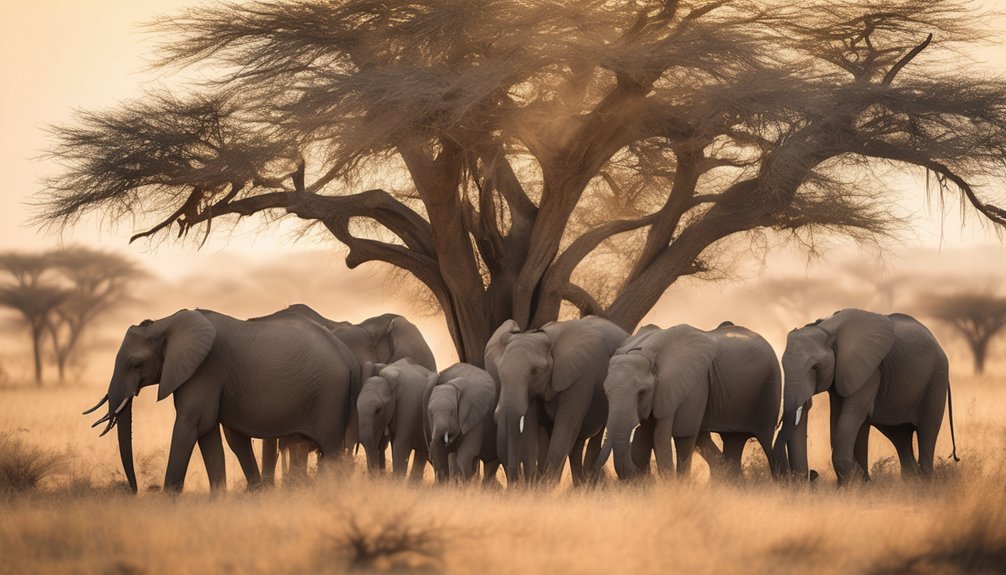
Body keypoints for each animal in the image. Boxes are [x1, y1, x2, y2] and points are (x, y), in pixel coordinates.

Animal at [83, 308, 360, 493]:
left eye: (136, 364)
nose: (134, 491)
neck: (167, 322)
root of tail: (349, 358)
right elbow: (208, 434)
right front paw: (220, 498)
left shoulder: (204, 370)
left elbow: (191, 425)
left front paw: (168, 499)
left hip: (329, 394)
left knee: (331, 449)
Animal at [486, 315, 628, 486]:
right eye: (500, 372)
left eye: (535, 371)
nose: (516, 482)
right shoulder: (532, 390)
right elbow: (530, 436)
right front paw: (534, 487)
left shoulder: (581, 378)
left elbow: (564, 430)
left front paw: (546, 486)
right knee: (575, 443)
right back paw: (580, 485)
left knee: (592, 436)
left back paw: (588, 484)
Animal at [773, 309, 958, 484]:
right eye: (782, 366)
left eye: (815, 367)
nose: (813, 475)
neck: (826, 328)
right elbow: (839, 419)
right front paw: (857, 484)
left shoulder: (870, 371)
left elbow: (852, 416)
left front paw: (858, 482)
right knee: (900, 436)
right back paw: (911, 482)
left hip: (936, 379)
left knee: (927, 430)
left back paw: (925, 483)